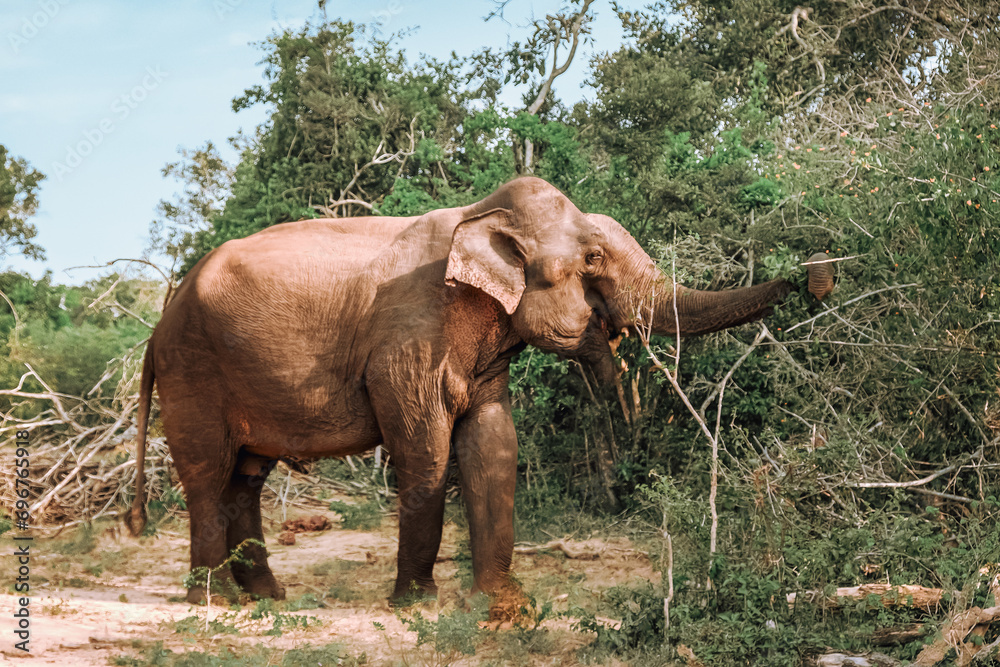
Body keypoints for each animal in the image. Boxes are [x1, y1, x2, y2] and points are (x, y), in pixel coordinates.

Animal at [125, 176, 832, 606]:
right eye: (593, 261)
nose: (816, 271)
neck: (478, 215)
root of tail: (158, 323)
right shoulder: (408, 340)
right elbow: (426, 454)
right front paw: (416, 604)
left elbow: (493, 444)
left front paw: (501, 601)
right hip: (194, 372)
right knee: (206, 475)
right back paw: (213, 600)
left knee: (245, 477)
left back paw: (265, 598)